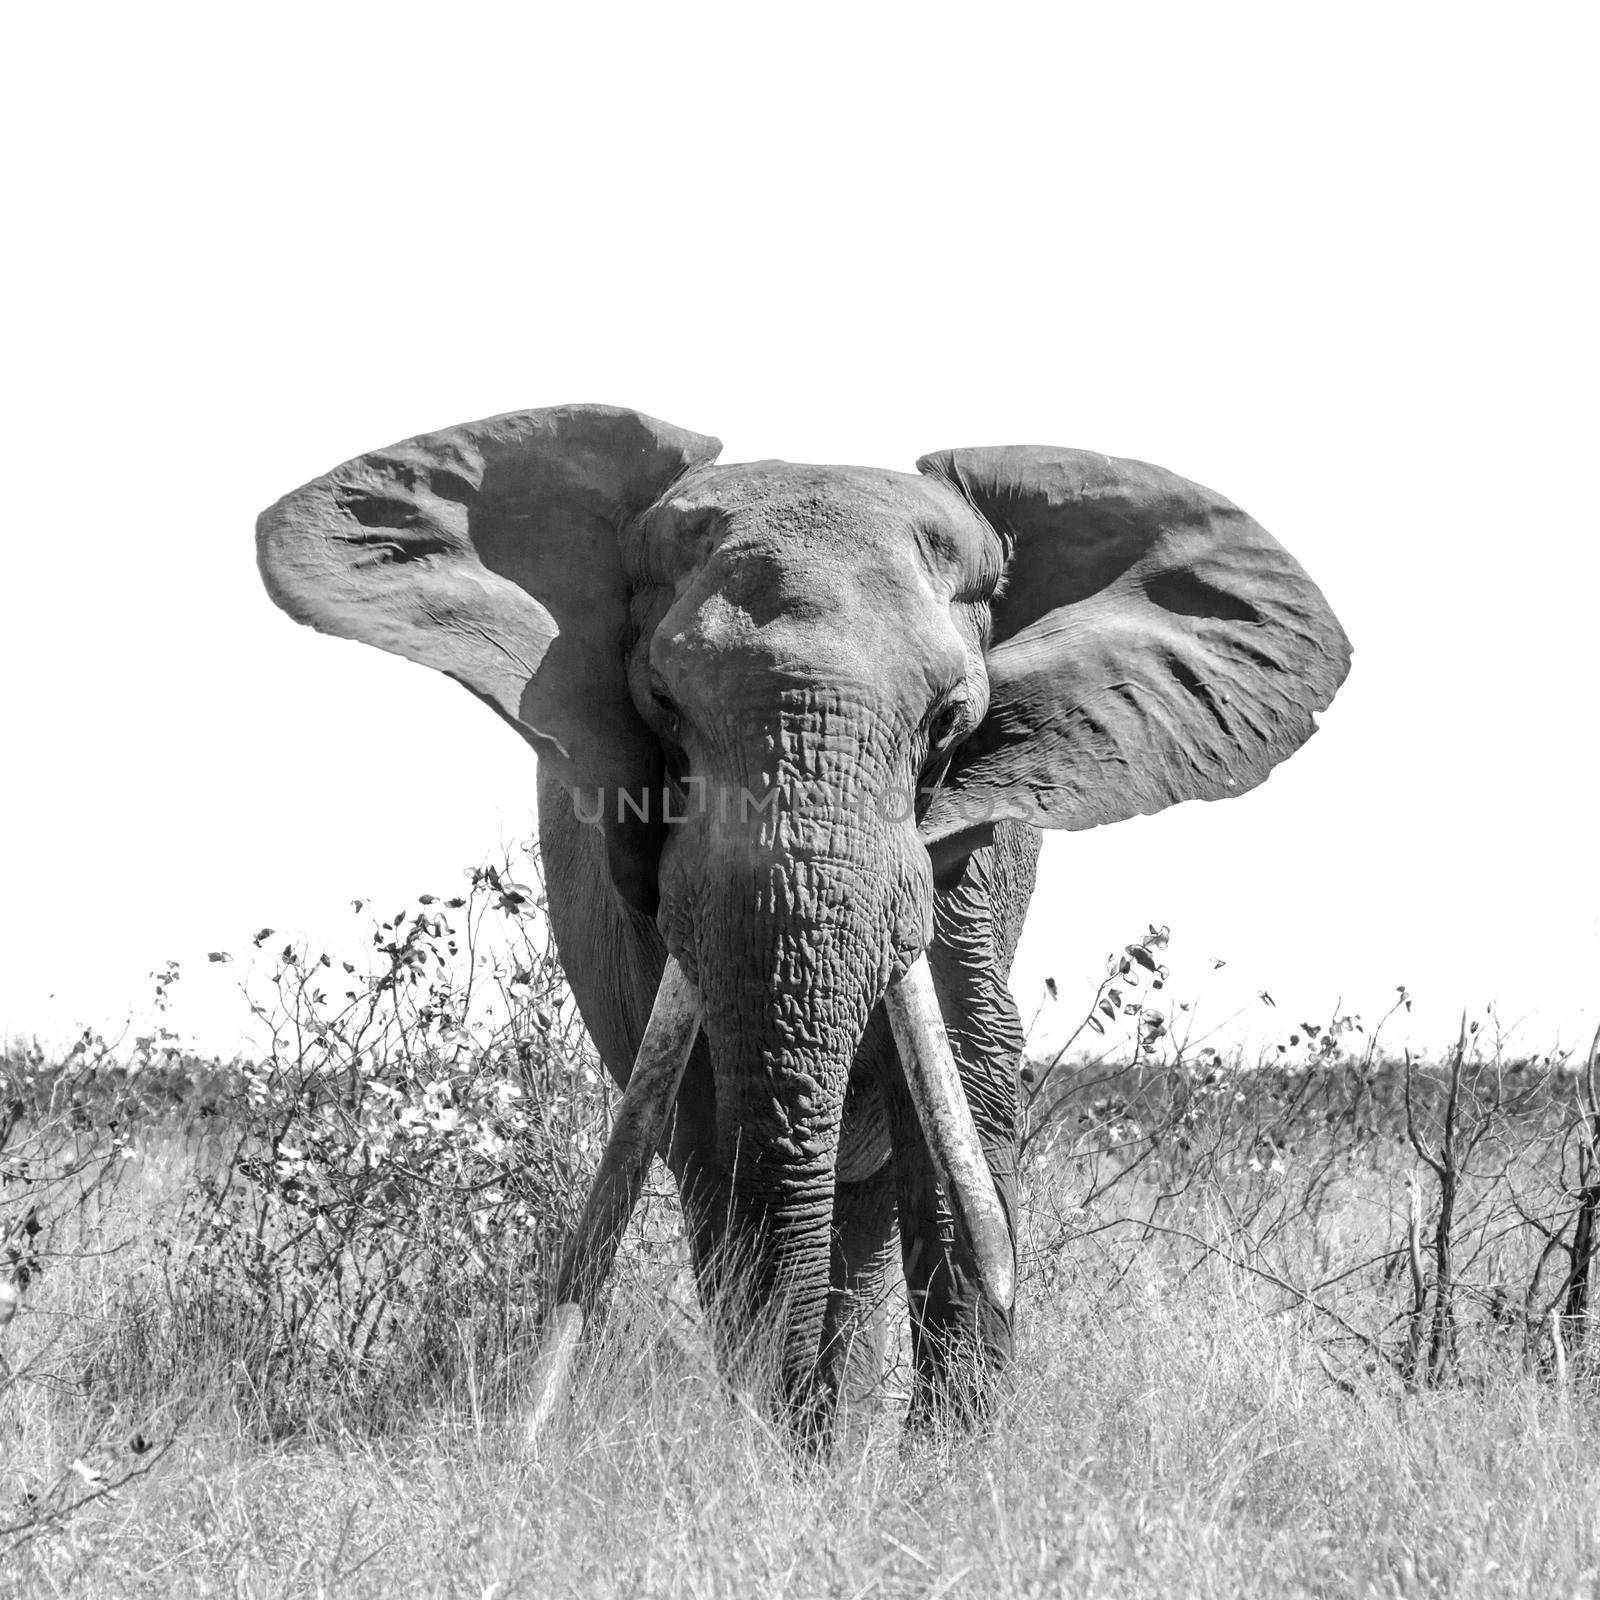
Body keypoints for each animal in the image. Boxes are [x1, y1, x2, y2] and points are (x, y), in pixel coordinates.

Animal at [259, 403, 1350, 1452]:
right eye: (661, 704)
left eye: (951, 721)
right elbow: (713, 1119)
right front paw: (788, 1465)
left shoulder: (967, 857)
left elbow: (962, 1088)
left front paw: (938, 1475)